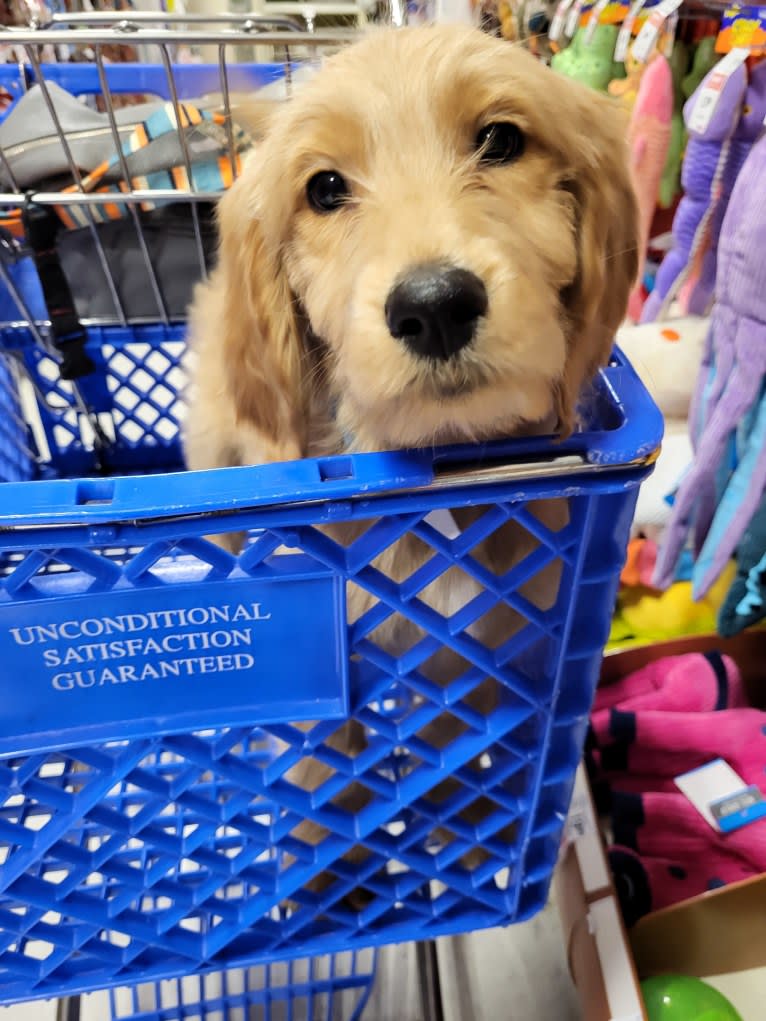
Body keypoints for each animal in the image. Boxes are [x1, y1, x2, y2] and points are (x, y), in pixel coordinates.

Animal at [187, 21, 641, 902]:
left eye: (501, 140)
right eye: (325, 189)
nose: (434, 307)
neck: (441, 466)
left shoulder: (494, 646)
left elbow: (470, 766)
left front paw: (467, 854)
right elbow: (321, 781)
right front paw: (327, 885)